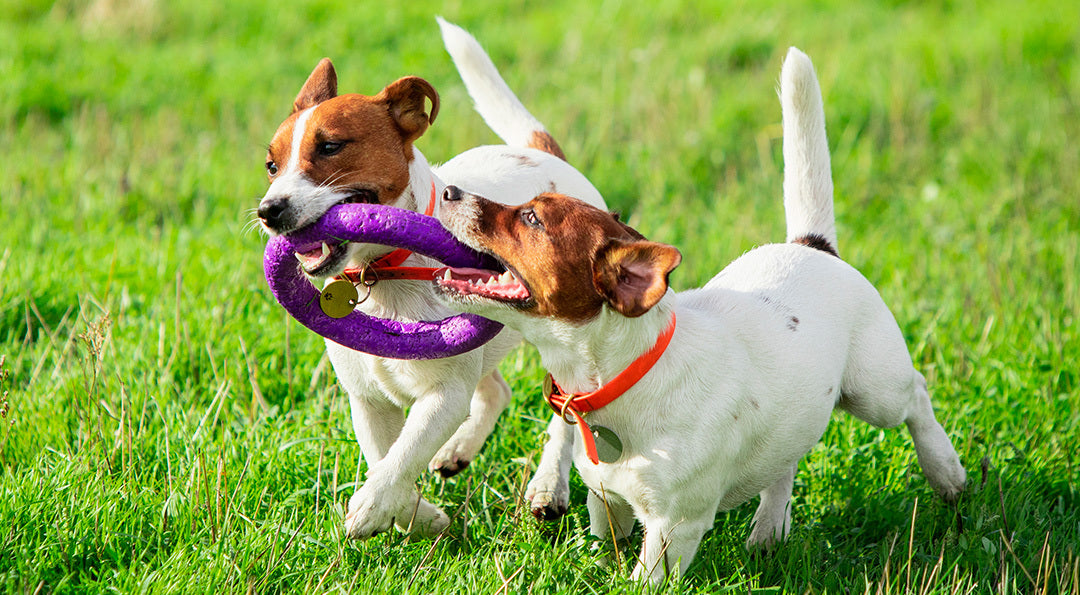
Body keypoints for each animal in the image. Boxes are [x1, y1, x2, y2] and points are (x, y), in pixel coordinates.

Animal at [254, 18, 609, 539]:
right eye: (271, 166)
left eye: (331, 146)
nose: (268, 211)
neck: (384, 274)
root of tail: (541, 154)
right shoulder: (368, 400)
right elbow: (384, 456)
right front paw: (419, 515)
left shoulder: (443, 395)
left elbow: (401, 456)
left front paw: (372, 507)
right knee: (495, 391)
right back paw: (458, 451)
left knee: (565, 415)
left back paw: (548, 486)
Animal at [434, 48, 967, 583]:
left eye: (531, 219)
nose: (450, 191)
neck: (625, 376)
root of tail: (813, 246)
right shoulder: (608, 499)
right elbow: (608, 546)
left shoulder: (674, 526)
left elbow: (644, 579)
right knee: (786, 460)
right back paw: (769, 529)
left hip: (874, 390)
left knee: (917, 394)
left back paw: (947, 472)